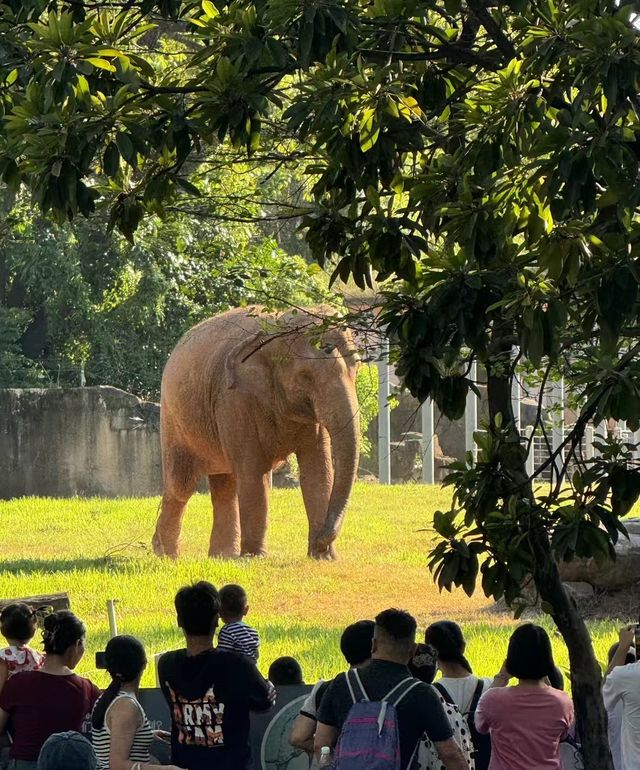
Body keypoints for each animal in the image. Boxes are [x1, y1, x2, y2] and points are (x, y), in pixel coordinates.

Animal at [151, 304, 360, 560]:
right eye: (305, 376)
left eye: (357, 366)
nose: (322, 537)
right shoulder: (234, 398)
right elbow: (252, 469)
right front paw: (255, 558)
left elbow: (317, 471)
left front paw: (324, 558)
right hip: (174, 419)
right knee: (181, 486)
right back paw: (166, 554)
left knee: (225, 485)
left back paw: (222, 557)